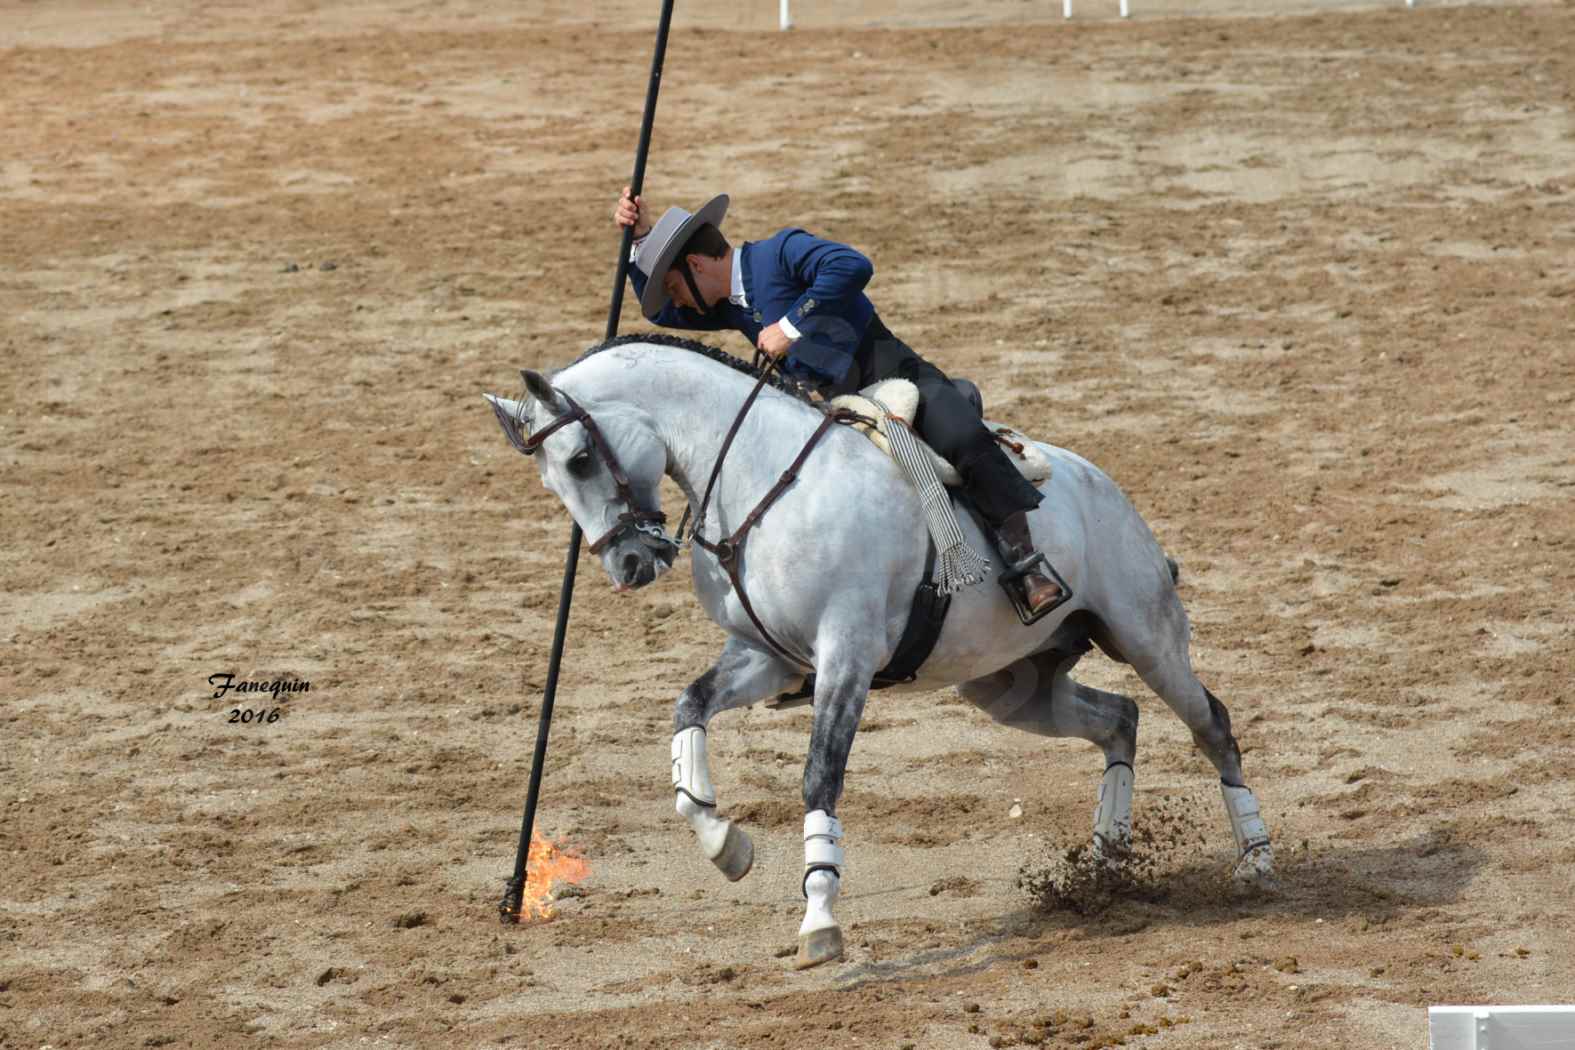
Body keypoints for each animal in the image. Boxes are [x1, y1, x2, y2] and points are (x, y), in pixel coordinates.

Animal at [485, 336, 1272, 969]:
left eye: (579, 459)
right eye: (551, 479)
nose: (627, 566)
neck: (762, 479)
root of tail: (1102, 484)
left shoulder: (847, 656)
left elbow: (819, 778)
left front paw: (818, 920)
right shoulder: (767, 657)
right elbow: (690, 709)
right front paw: (724, 844)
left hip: (1146, 636)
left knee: (1210, 723)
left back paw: (1255, 863)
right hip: (1013, 686)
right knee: (1119, 720)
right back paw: (1106, 864)